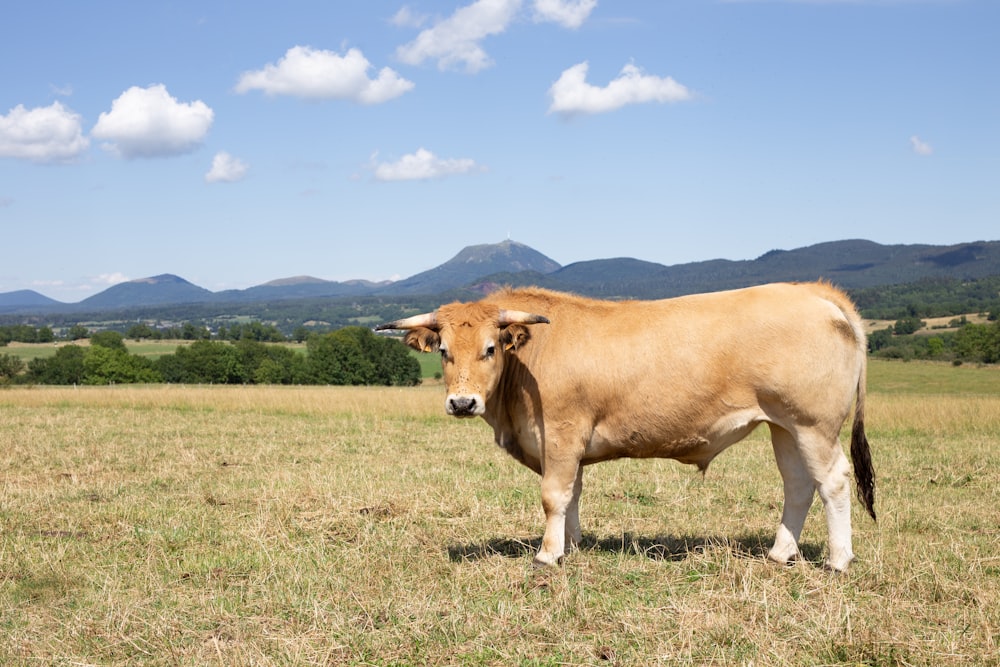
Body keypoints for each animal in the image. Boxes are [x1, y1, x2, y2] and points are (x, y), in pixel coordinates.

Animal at [376, 284, 876, 572]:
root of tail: (814, 291)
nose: (462, 402)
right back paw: (779, 554)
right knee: (798, 485)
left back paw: (838, 561)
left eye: (490, 348)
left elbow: (553, 494)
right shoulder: (567, 444)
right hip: (783, 426)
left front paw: (547, 555)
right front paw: (572, 545)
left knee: (832, 481)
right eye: (443, 350)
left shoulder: (561, 430)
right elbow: (573, 493)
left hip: (813, 424)